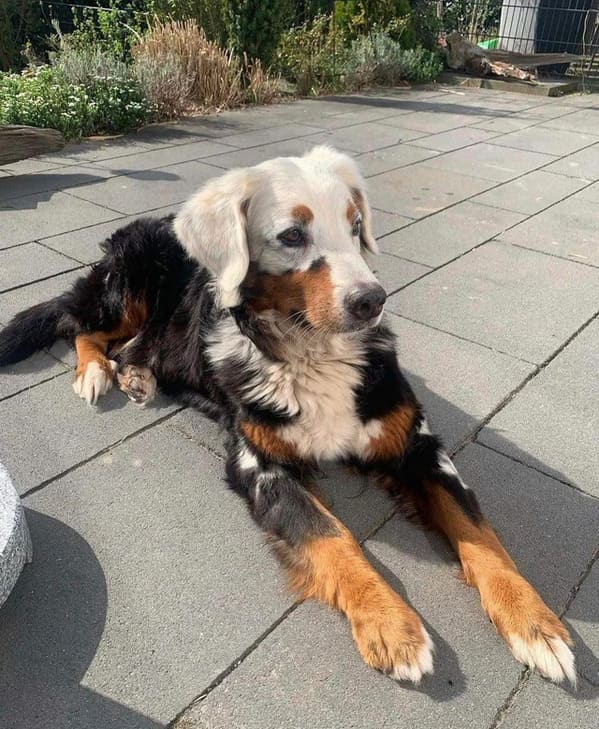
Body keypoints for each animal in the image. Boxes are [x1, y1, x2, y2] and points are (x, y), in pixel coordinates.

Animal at [0, 146, 576, 684]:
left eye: (356, 225)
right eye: (292, 235)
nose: (372, 301)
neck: (311, 353)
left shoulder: (418, 444)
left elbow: (481, 536)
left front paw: (534, 623)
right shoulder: (261, 465)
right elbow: (333, 538)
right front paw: (390, 624)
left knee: (127, 341)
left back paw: (138, 373)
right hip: (129, 286)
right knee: (82, 325)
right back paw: (96, 372)